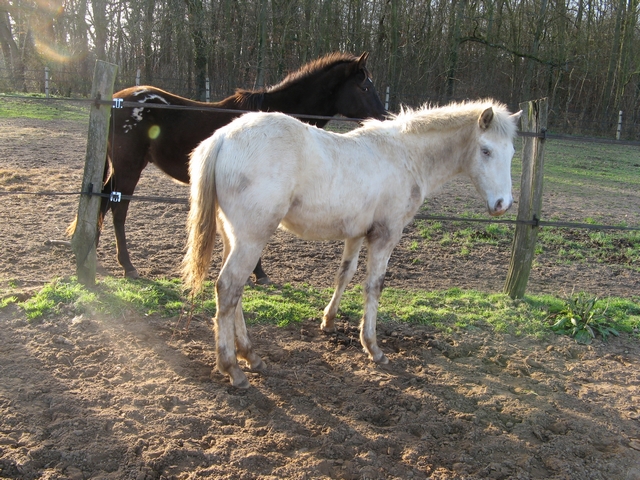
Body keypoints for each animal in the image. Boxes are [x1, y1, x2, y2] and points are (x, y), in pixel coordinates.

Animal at [69, 52, 387, 281]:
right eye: (364, 86)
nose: (383, 117)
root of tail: (116, 99)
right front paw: (258, 273)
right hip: (129, 168)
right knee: (117, 209)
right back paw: (126, 266)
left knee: (102, 202)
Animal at [182, 99, 522, 388]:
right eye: (486, 150)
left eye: (512, 153)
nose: (502, 204)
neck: (405, 156)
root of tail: (223, 137)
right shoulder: (386, 234)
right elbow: (374, 286)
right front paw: (373, 347)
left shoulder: (357, 233)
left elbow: (344, 273)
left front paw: (329, 322)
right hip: (253, 237)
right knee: (228, 288)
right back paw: (232, 368)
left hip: (235, 237)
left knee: (234, 292)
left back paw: (250, 356)